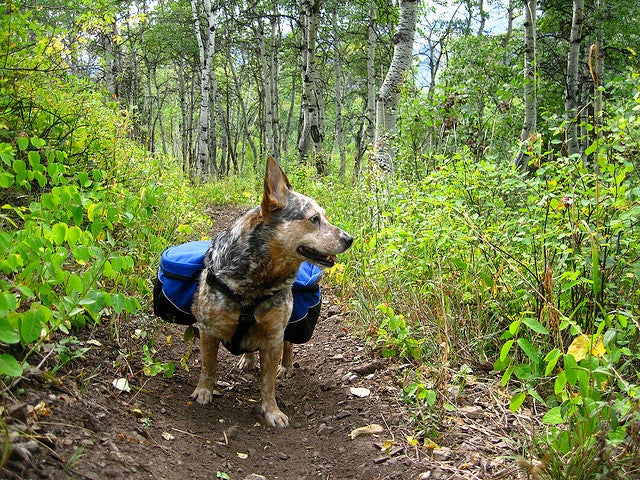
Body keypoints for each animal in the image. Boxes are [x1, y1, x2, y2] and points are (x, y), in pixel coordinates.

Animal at [190, 158, 356, 428]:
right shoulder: (208, 330)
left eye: (325, 216)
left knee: (288, 345)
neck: (255, 284)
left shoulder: (273, 338)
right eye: (314, 219)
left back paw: (286, 366)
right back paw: (247, 360)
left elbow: (268, 383)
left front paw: (272, 411)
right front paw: (204, 391)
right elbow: (208, 366)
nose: (350, 239)